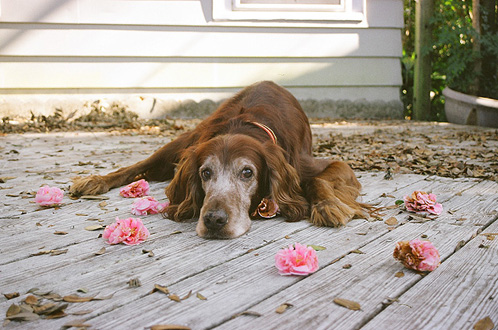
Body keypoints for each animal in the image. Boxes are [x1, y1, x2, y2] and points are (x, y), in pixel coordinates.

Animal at [72, 81, 372, 238]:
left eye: (247, 173)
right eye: (205, 173)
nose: (214, 220)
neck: (245, 125)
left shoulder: (316, 164)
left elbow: (318, 179)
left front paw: (328, 206)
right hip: (181, 144)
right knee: (137, 166)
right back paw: (93, 181)